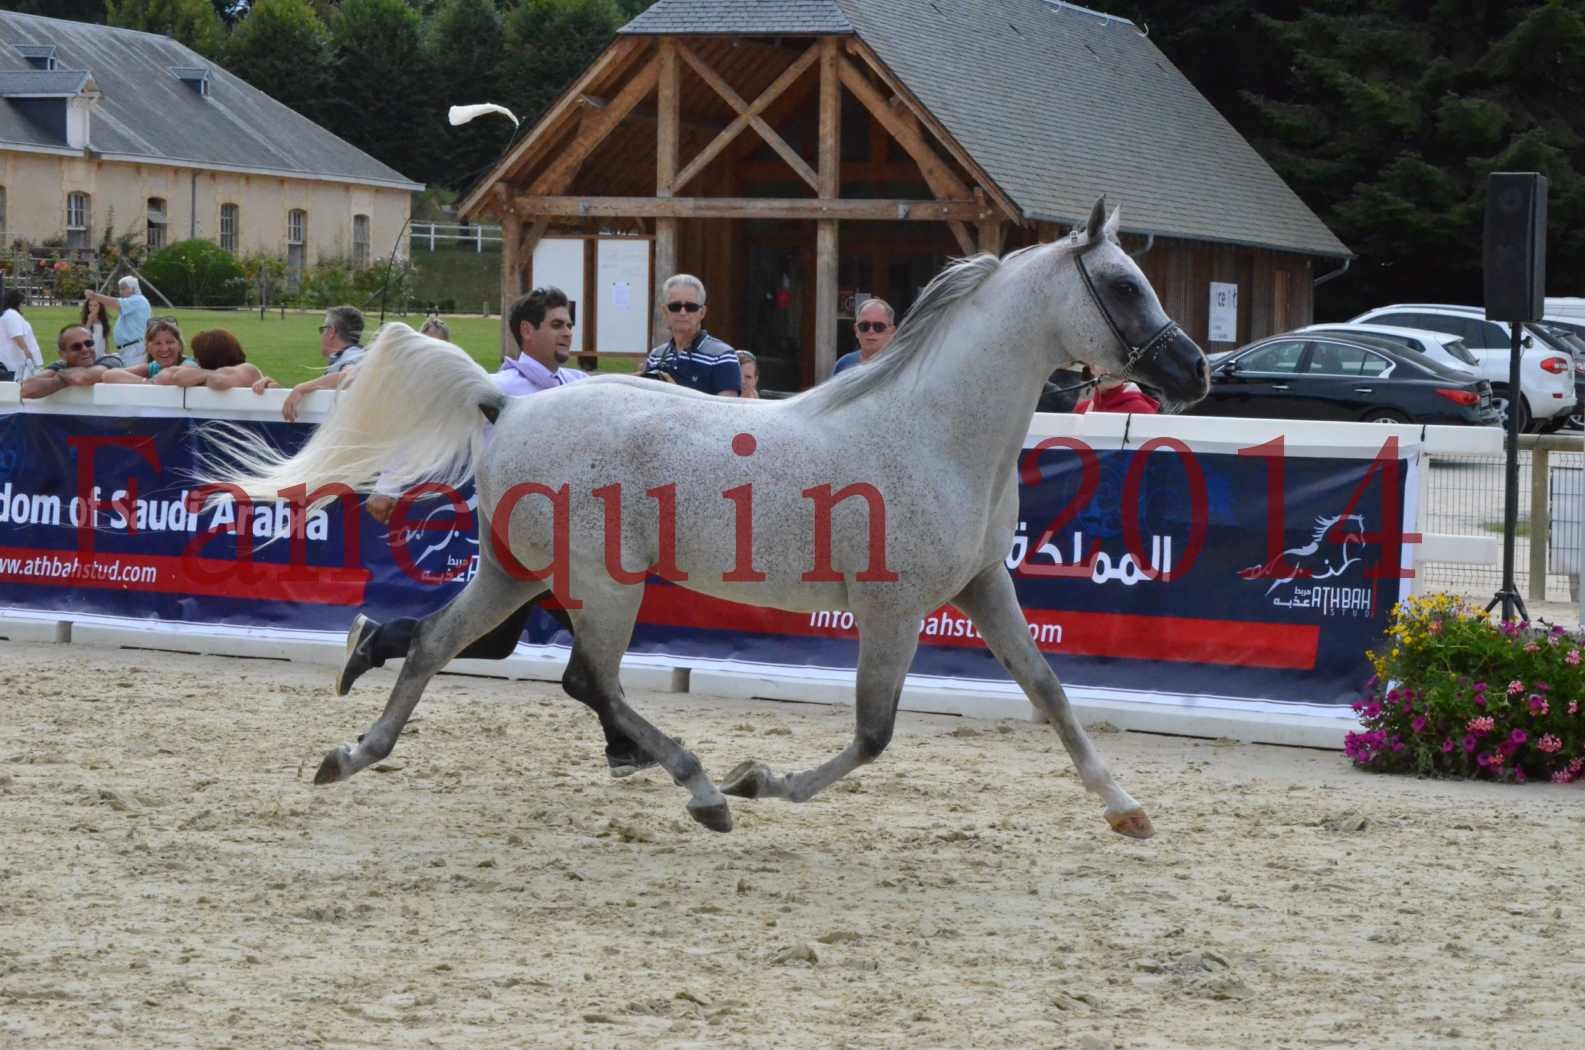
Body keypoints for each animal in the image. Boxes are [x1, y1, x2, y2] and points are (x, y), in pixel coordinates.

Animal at [207, 197, 1198, 837]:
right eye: (1121, 284)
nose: (1192, 371)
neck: (934, 430)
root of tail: (505, 402)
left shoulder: (984, 585)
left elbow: (1049, 690)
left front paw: (1126, 810)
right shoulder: (893, 610)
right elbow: (873, 733)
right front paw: (758, 782)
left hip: (514, 572)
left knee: (435, 644)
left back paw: (351, 752)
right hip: (603, 586)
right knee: (587, 682)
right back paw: (702, 791)